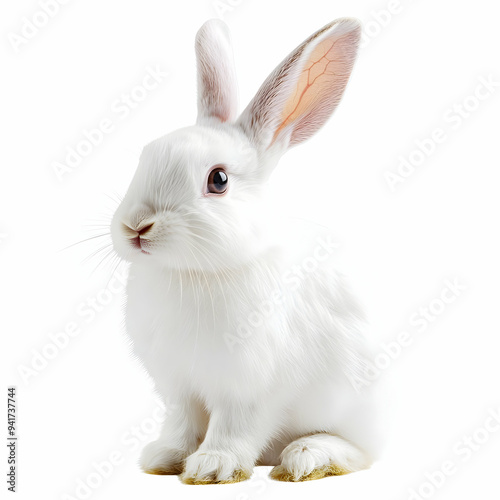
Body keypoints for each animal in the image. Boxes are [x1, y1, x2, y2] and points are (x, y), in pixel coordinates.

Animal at [111, 17, 380, 482]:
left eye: (218, 180)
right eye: (145, 155)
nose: (136, 227)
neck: (192, 274)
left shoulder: (251, 388)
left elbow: (234, 426)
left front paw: (212, 467)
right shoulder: (179, 387)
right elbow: (181, 423)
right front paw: (164, 458)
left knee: (360, 451)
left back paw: (306, 456)